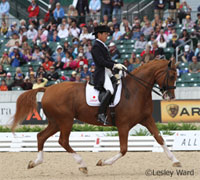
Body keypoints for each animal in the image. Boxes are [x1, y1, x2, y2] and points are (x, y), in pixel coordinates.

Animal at [11, 58, 182, 173]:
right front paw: (103, 162)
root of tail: (47, 89)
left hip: (56, 122)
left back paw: (35, 162)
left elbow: (160, 138)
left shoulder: (146, 119)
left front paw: (176, 161)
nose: (171, 97)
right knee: (62, 141)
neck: (135, 91)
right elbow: (124, 149)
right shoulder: (123, 125)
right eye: (172, 76)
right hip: (65, 120)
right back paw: (82, 165)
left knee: (41, 136)